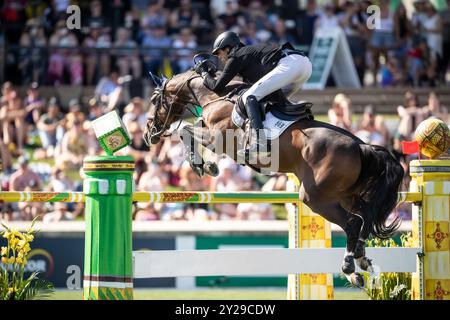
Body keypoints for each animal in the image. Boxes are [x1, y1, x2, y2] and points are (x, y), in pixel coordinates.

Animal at [143, 69, 404, 286]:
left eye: (155, 100)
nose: (149, 134)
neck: (215, 96)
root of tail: (362, 146)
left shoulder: (218, 139)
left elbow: (185, 130)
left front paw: (204, 165)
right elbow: (190, 127)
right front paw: (205, 165)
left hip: (315, 197)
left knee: (352, 223)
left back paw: (349, 267)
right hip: (345, 196)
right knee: (364, 219)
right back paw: (362, 260)